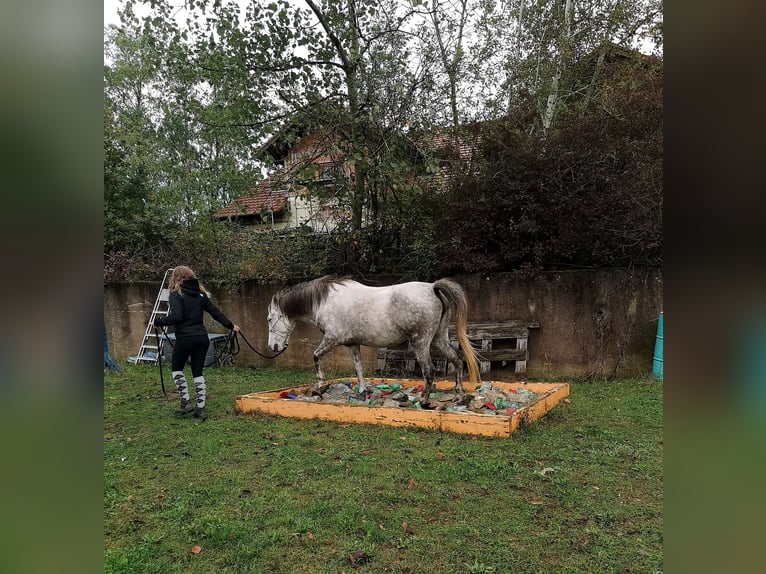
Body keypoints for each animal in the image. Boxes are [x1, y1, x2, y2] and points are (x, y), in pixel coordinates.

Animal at [266, 276, 480, 405]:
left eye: (269, 319)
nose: (273, 347)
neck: (325, 301)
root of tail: (433, 288)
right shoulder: (352, 344)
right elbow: (358, 367)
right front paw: (362, 391)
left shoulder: (332, 339)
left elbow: (316, 356)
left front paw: (321, 385)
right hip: (438, 339)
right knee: (456, 359)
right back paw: (460, 394)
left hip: (421, 343)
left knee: (429, 370)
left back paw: (423, 401)